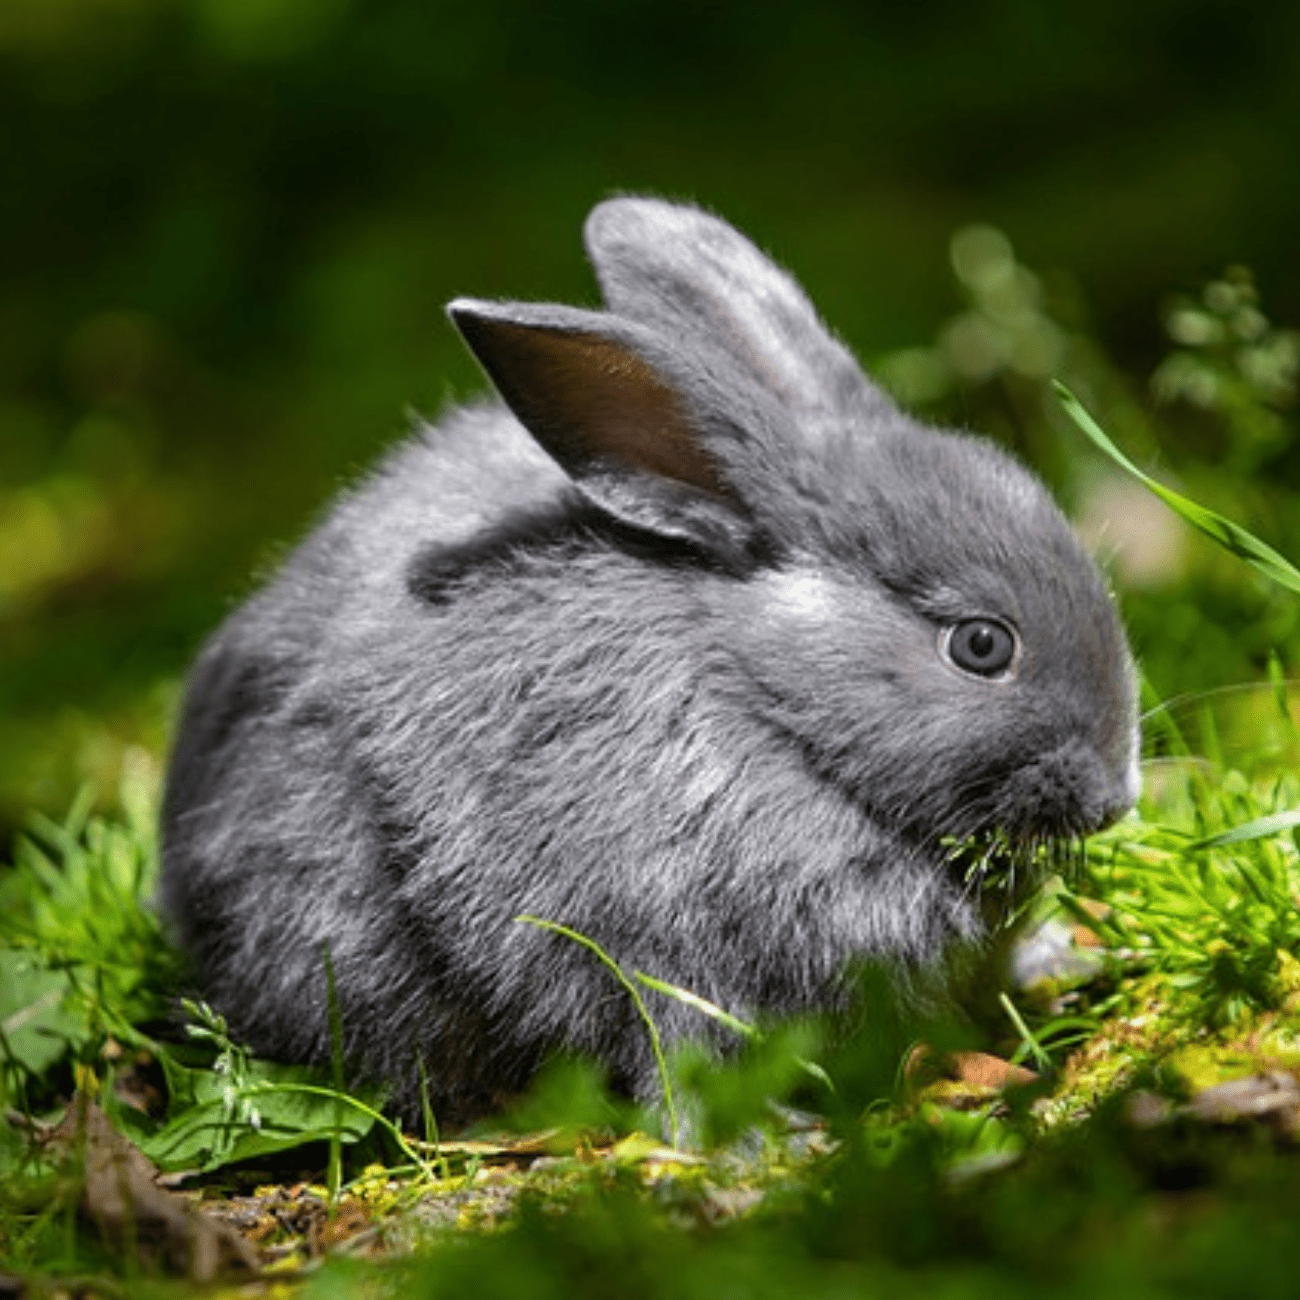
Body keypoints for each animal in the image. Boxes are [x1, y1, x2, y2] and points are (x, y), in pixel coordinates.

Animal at [160, 197, 1140, 1128]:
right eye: (981, 645)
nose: (1114, 799)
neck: (766, 702)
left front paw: (1069, 960)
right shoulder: (635, 935)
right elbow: (671, 1050)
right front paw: (760, 1142)